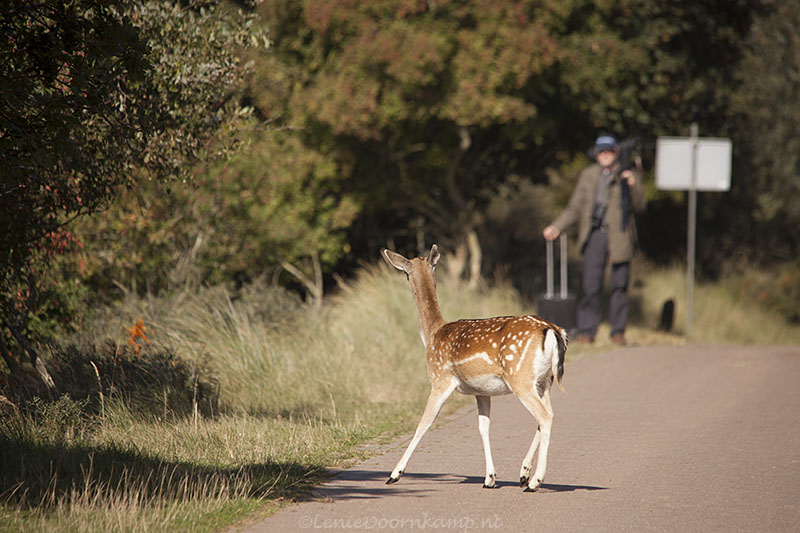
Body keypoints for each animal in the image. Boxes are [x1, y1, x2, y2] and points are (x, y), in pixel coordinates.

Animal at [382, 244, 564, 490]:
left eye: (405, 273)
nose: (404, 278)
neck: (432, 336)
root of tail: (552, 330)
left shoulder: (440, 379)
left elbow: (424, 423)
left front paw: (394, 474)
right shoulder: (481, 391)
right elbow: (483, 427)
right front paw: (489, 478)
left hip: (520, 377)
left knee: (544, 416)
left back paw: (535, 481)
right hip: (544, 381)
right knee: (548, 415)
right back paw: (524, 474)